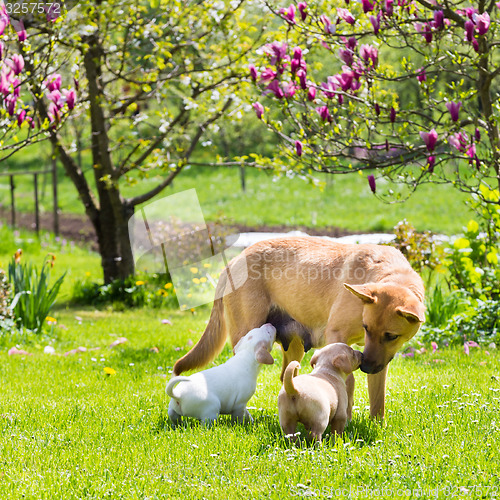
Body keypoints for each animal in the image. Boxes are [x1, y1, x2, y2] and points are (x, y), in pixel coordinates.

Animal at [174, 236, 424, 420]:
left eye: (391, 336)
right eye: (366, 327)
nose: (367, 367)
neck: (388, 275)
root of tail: (232, 262)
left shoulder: (381, 358)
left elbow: (377, 397)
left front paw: (376, 425)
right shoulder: (338, 335)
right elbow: (348, 380)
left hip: (294, 349)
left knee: (286, 377)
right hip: (246, 335)